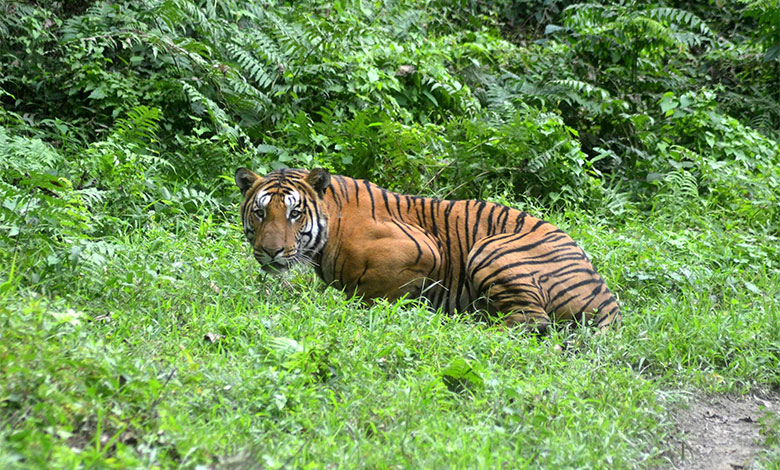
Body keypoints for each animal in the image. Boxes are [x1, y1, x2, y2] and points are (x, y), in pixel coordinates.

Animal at [235, 167, 621, 333]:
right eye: (260, 212)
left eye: (295, 213)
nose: (271, 251)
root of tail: (607, 298)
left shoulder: (423, 249)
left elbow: (374, 293)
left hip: (490, 249)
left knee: (531, 321)